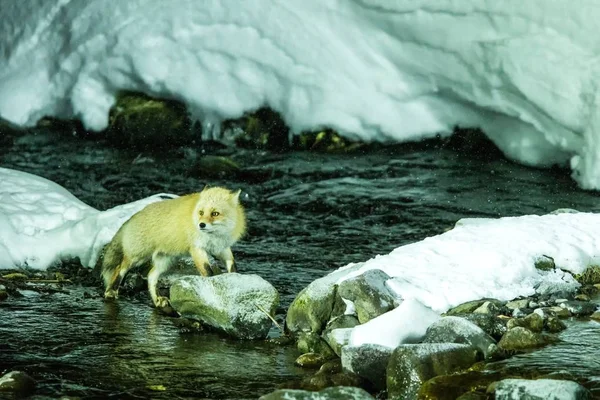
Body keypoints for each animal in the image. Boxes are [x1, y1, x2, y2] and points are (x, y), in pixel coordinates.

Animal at [101, 186, 246, 308]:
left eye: (215, 213)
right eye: (201, 212)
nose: (201, 225)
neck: (216, 236)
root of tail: (134, 216)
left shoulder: (221, 248)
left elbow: (232, 265)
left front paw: (235, 279)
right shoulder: (197, 248)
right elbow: (208, 271)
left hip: (165, 261)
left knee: (151, 276)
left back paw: (157, 300)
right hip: (137, 257)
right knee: (120, 268)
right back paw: (111, 291)